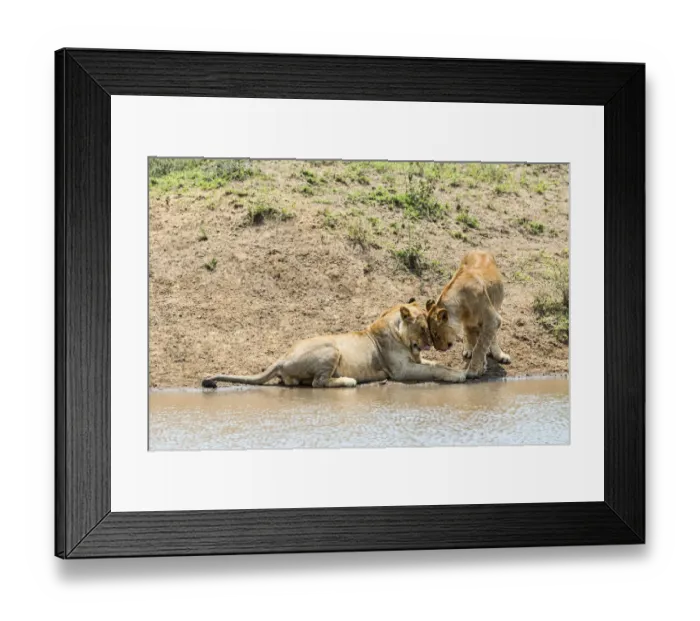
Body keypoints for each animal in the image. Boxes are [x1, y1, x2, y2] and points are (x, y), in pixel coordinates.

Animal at [201, 302, 467, 389]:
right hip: (331, 349)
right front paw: (457, 375)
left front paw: (459, 370)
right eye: (423, 328)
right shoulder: (401, 371)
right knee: (319, 383)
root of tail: (282, 358)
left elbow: (436, 364)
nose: (430, 343)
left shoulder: (416, 360)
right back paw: (348, 381)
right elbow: (434, 369)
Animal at [425, 250, 511, 378]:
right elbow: (477, 344)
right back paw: (468, 350)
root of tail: (478, 249)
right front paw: (481, 367)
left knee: (491, 336)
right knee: (469, 335)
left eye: (435, 333)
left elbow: (480, 347)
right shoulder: (471, 322)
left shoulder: (492, 320)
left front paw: (473, 371)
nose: (438, 349)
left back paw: (499, 354)